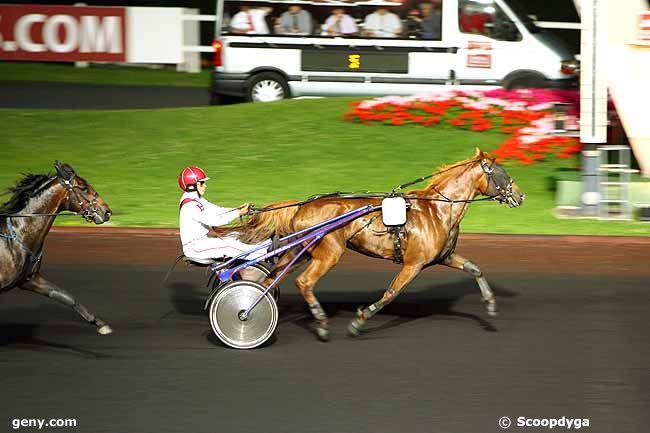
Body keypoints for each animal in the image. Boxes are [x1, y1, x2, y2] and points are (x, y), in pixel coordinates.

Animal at [0, 162, 113, 334]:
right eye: (83, 188)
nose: (106, 211)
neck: (15, 237)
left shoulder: (29, 279)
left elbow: (66, 297)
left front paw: (100, 323)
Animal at [218, 149, 520, 340]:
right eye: (502, 173)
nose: (520, 195)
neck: (437, 209)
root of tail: (302, 205)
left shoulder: (444, 256)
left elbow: (475, 269)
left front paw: (491, 304)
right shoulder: (414, 263)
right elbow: (391, 293)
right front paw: (358, 322)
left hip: (299, 250)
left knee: (271, 278)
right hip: (329, 252)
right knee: (303, 282)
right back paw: (316, 321)